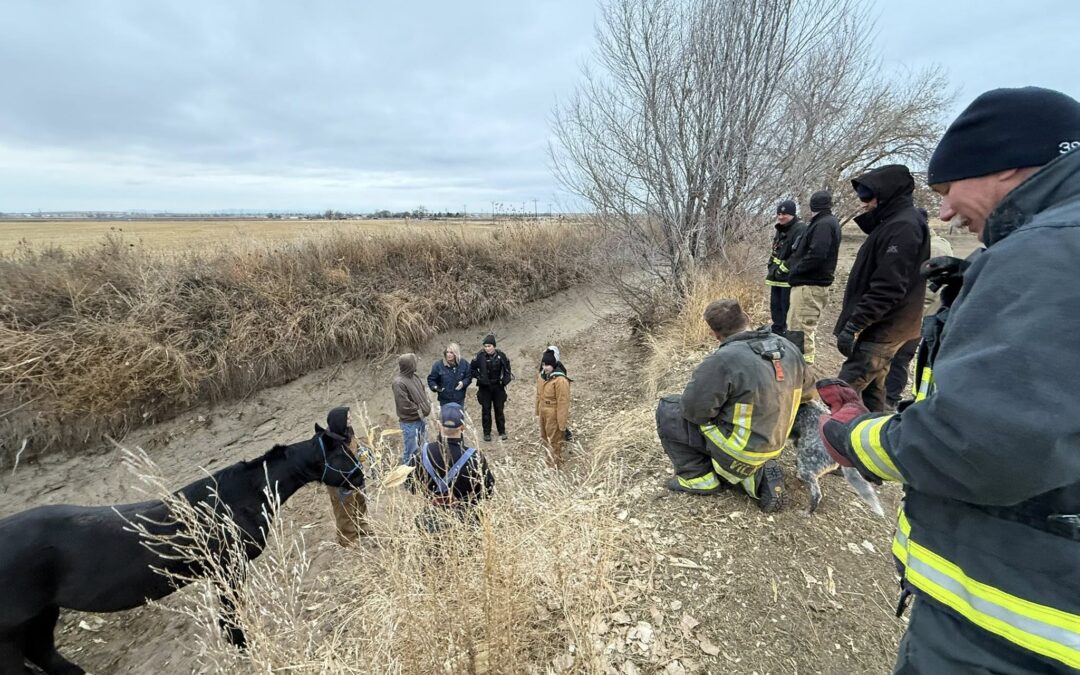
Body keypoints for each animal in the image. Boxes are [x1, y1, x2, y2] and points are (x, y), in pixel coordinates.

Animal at [0, 418, 365, 675]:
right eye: (344, 456)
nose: (363, 476)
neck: (239, 497)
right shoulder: (227, 570)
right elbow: (231, 620)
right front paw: (244, 649)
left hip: (42, 617)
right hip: (14, 632)